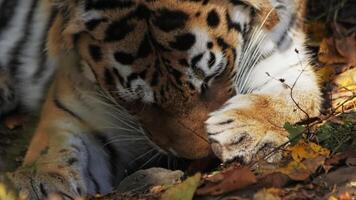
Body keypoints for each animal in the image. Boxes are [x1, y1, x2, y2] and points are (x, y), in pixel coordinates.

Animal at [0, 0, 322, 198]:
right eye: (134, 102)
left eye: (214, 76)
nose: (199, 157)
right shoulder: (77, 107)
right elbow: (51, 147)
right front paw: (37, 183)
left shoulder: (283, 60)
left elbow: (290, 99)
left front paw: (241, 132)